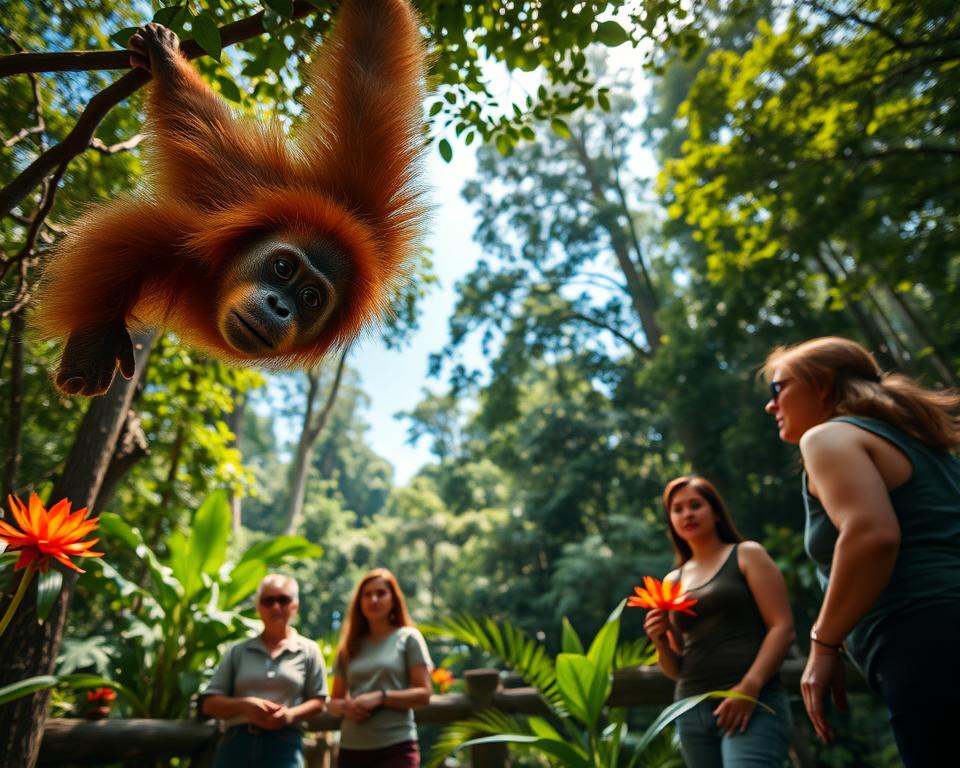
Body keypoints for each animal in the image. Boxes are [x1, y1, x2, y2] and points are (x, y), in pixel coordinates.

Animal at [35, 0, 427, 396]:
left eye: (310, 298)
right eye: (282, 268)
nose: (278, 306)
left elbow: (372, 69)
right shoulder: (191, 237)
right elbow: (125, 240)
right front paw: (96, 335)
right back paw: (168, 63)